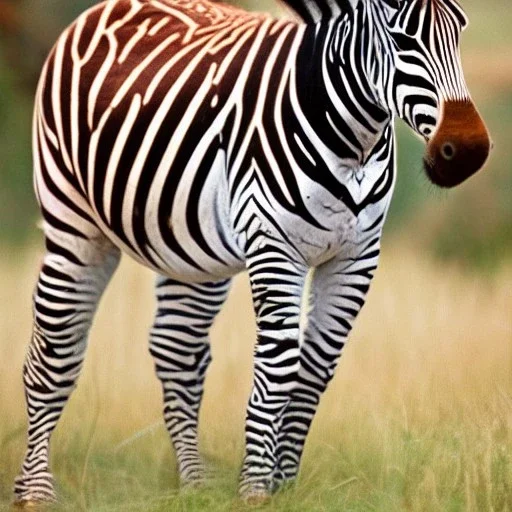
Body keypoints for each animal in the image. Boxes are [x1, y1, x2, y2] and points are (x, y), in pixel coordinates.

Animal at [14, 0, 490, 506]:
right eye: (402, 40)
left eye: (460, 31)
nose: (468, 152)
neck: (354, 142)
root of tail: (106, 7)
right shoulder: (275, 246)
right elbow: (280, 364)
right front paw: (257, 490)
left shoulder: (356, 258)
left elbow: (314, 371)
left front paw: (286, 488)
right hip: (74, 220)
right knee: (52, 354)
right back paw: (35, 491)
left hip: (190, 249)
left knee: (176, 349)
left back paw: (194, 487)